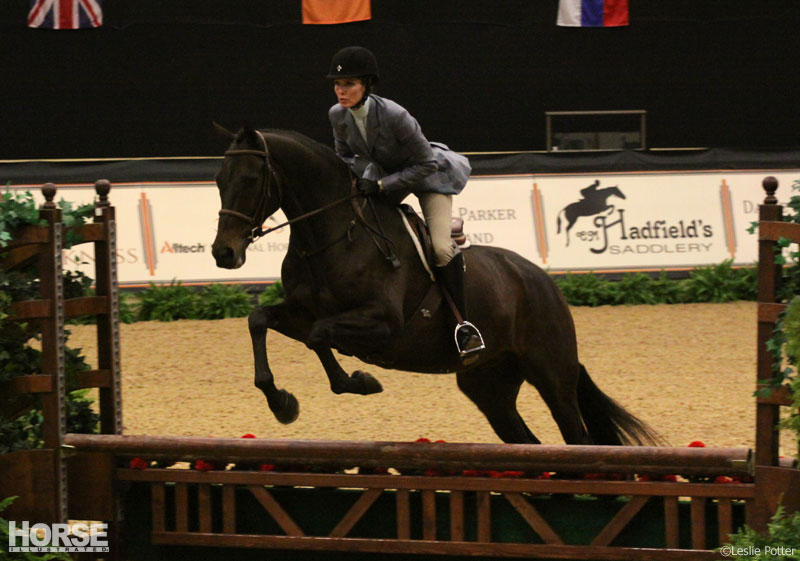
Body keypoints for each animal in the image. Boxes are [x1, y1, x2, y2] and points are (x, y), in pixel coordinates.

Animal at [209, 128, 660, 446]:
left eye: (250, 179)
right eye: (218, 180)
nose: (223, 253)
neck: (334, 236)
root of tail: (542, 282)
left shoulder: (382, 324)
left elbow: (321, 337)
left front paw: (359, 382)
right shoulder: (303, 314)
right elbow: (260, 320)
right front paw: (281, 402)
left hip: (551, 375)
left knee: (577, 437)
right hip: (489, 385)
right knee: (526, 440)